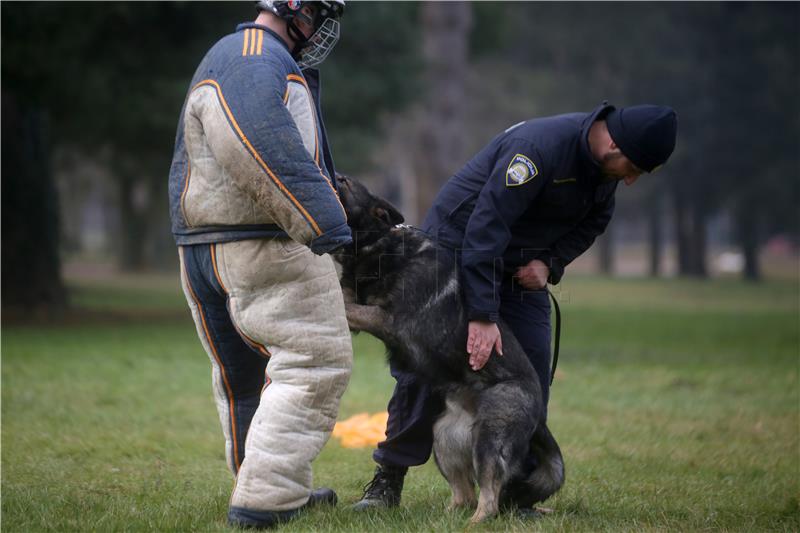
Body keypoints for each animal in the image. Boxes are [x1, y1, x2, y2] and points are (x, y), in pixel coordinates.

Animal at [332, 174, 564, 520]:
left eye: (344, 183)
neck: (383, 243)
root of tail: (540, 418)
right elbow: (343, 294)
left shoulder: (387, 320)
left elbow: (346, 303)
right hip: (443, 438)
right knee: (464, 493)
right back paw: (447, 516)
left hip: (489, 438)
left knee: (489, 496)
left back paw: (477, 522)